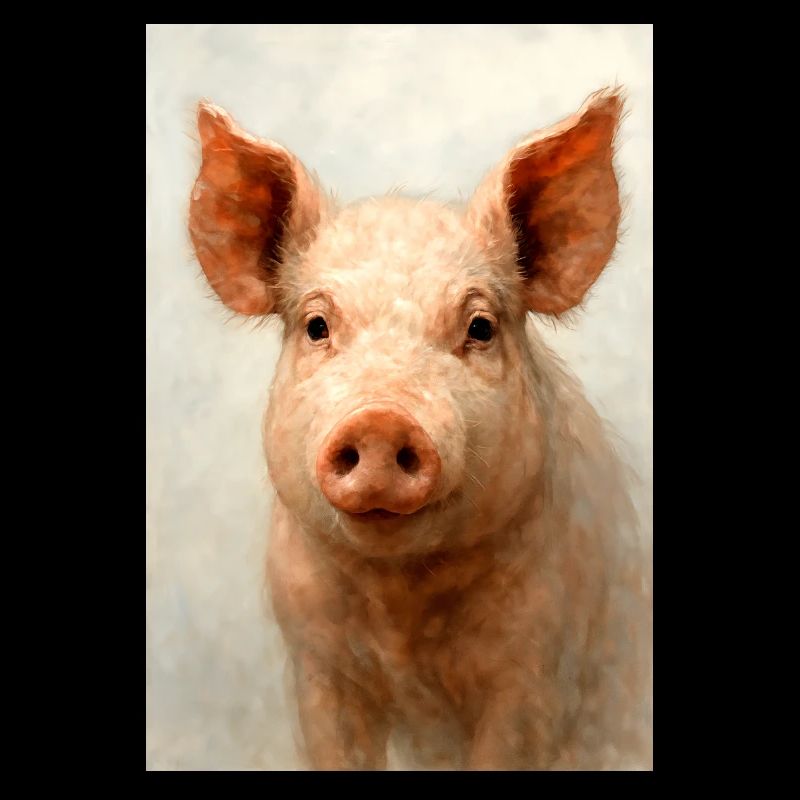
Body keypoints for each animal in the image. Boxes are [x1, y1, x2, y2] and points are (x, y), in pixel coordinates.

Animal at [187, 87, 652, 771]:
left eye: (480, 327)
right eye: (317, 325)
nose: (381, 421)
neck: (403, 612)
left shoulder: (539, 666)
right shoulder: (315, 664)